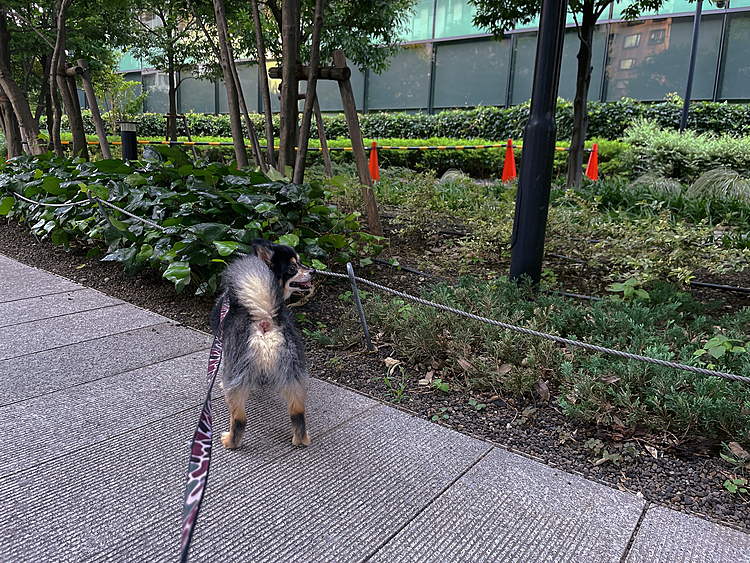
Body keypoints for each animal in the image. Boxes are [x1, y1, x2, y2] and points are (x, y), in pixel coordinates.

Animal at [210, 239, 316, 450]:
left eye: (300, 263)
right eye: (294, 267)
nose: (313, 271)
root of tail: (265, 318)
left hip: (235, 377)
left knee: (239, 419)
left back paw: (230, 442)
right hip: (294, 373)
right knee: (298, 415)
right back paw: (301, 439)